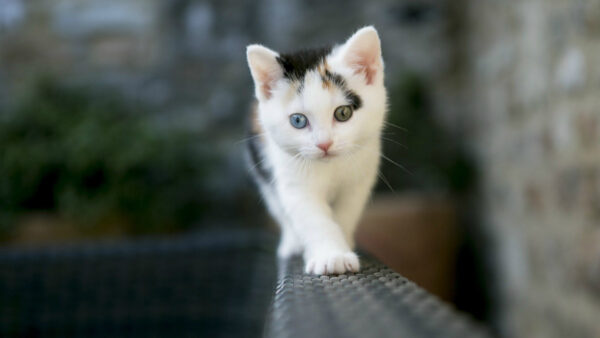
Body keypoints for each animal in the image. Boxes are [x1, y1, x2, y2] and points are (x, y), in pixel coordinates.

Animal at [246, 26, 386, 274]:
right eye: (298, 120)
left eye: (343, 113)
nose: (324, 144)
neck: (331, 166)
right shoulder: (291, 178)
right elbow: (311, 217)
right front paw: (331, 256)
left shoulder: (360, 177)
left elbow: (346, 212)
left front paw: (343, 245)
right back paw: (292, 244)